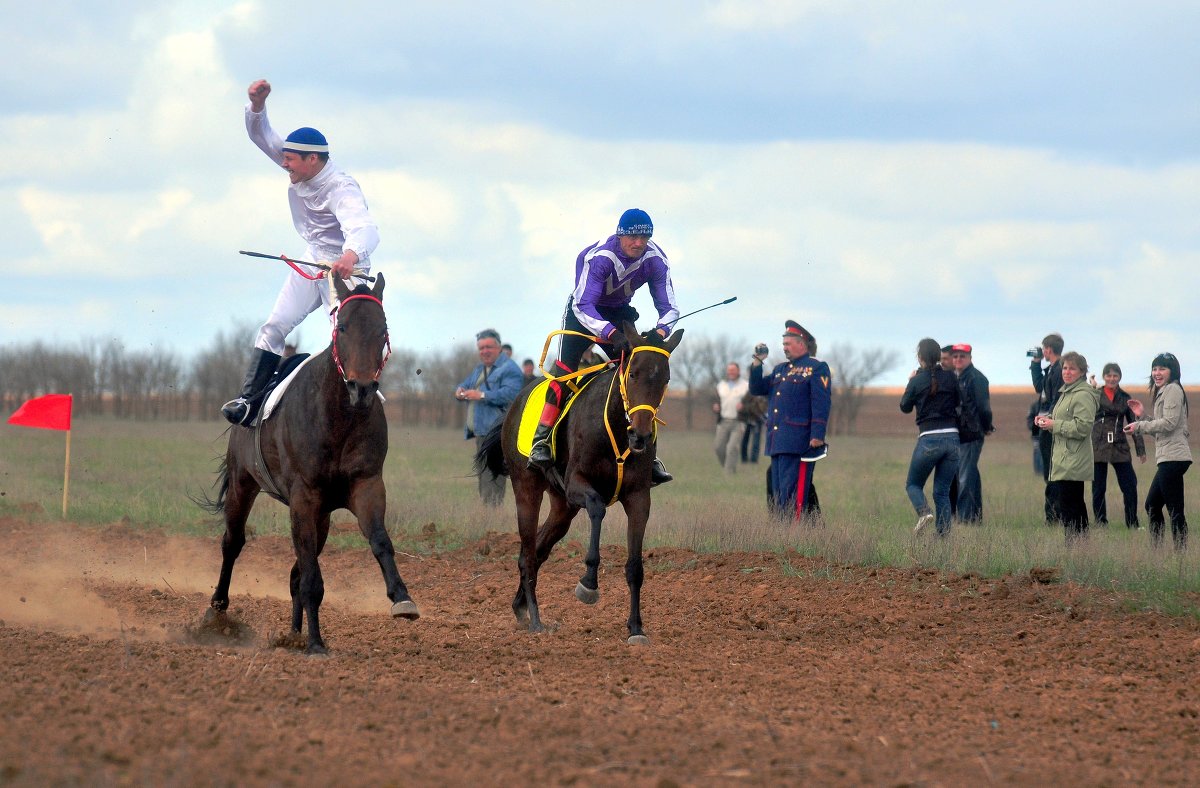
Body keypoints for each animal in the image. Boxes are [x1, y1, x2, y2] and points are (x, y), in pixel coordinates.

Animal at [199, 273, 420, 652]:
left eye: (382, 329)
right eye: (343, 327)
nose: (362, 388)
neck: (339, 415)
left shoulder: (365, 484)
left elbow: (378, 539)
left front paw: (401, 597)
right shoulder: (304, 496)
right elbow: (311, 578)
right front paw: (316, 643)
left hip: (322, 515)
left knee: (295, 571)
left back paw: (293, 633)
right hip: (243, 483)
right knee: (233, 542)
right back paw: (219, 610)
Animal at [477, 323, 686, 642]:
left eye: (665, 378)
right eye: (633, 373)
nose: (640, 436)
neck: (615, 428)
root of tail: (513, 406)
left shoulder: (638, 497)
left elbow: (635, 566)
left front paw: (636, 627)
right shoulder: (577, 483)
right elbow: (597, 508)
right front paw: (588, 583)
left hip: (562, 506)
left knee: (538, 549)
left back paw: (520, 607)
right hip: (527, 488)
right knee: (527, 554)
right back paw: (535, 619)